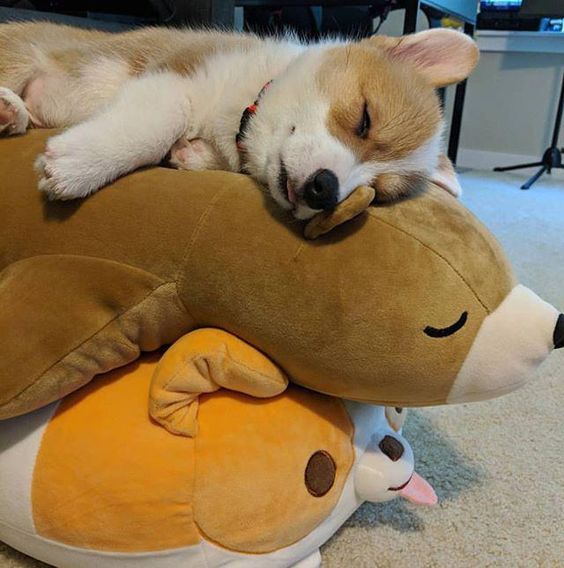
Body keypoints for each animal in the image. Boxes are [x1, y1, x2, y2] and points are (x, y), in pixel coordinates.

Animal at [0, 22, 476, 217]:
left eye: (377, 193)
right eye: (364, 119)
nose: (325, 190)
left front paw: (189, 156)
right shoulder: (174, 77)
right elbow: (159, 122)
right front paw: (78, 166)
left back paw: (12, 113)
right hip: (21, 55)